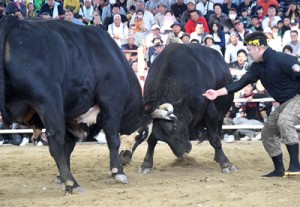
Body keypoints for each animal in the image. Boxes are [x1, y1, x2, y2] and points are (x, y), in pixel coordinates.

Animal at [0, 16, 162, 194]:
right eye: (143, 134)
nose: (126, 159)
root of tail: (13, 22)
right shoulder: (112, 106)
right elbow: (113, 140)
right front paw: (117, 172)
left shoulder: (70, 117)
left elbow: (69, 146)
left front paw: (60, 176)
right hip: (48, 102)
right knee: (55, 142)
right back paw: (72, 183)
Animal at [139, 44, 238, 174]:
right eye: (162, 137)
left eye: (175, 126)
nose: (183, 152)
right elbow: (151, 141)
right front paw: (146, 163)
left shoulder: (210, 112)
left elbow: (215, 139)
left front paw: (225, 163)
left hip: (220, 115)